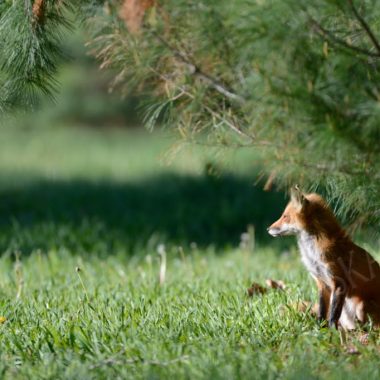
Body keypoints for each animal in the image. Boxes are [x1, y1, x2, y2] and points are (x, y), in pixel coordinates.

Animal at [268, 187, 380, 330]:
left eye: (285, 216)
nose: (268, 229)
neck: (312, 254)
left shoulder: (339, 283)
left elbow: (333, 314)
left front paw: (332, 331)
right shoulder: (322, 283)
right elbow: (322, 310)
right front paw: (320, 329)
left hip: (361, 306)